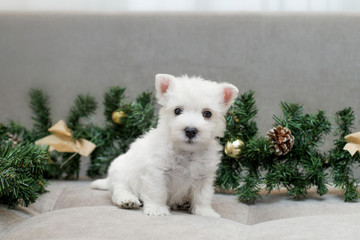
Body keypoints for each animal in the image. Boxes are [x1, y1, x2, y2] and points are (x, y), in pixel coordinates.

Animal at [91, 74, 238, 218]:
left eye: (207, 113)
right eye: (177, 110)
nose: (190, 130)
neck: (186, 151)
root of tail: (109, 180)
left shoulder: (204, 177)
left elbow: (203, 196)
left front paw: (206, 212)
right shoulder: (156, 172)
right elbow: (157, 192)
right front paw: (157, 209)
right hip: (121, 174)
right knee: (120, 190)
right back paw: (127, 200)